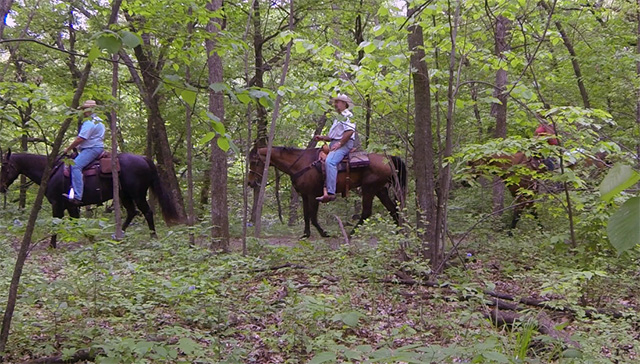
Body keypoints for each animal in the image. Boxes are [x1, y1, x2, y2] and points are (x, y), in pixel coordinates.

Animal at [0, 150, 180, 247]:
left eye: (6, 168)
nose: (2, 187)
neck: (52, 171)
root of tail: (143, 159)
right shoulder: (71, 205)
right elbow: (77, 222)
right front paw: (92, 239)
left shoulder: (57, 204)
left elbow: (57, 224)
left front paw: (52, 245)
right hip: (124, 196)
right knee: (131, 212)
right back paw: (118, 236)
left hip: (137, 194)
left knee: (147, 212)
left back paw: (153, 237)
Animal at [248, 146, 408, 237]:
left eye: (255, 162)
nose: (250, 182)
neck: (301, 164)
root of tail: (388, 159)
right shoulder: (304, 195)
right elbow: (306, 216)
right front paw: (306, 234)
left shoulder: (313, 195)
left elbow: (313, 217)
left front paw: (324, 233)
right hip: (380, 190)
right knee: (393, 209)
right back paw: (399, 233)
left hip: (369, 188)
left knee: (367, 212)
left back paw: (351, 233)